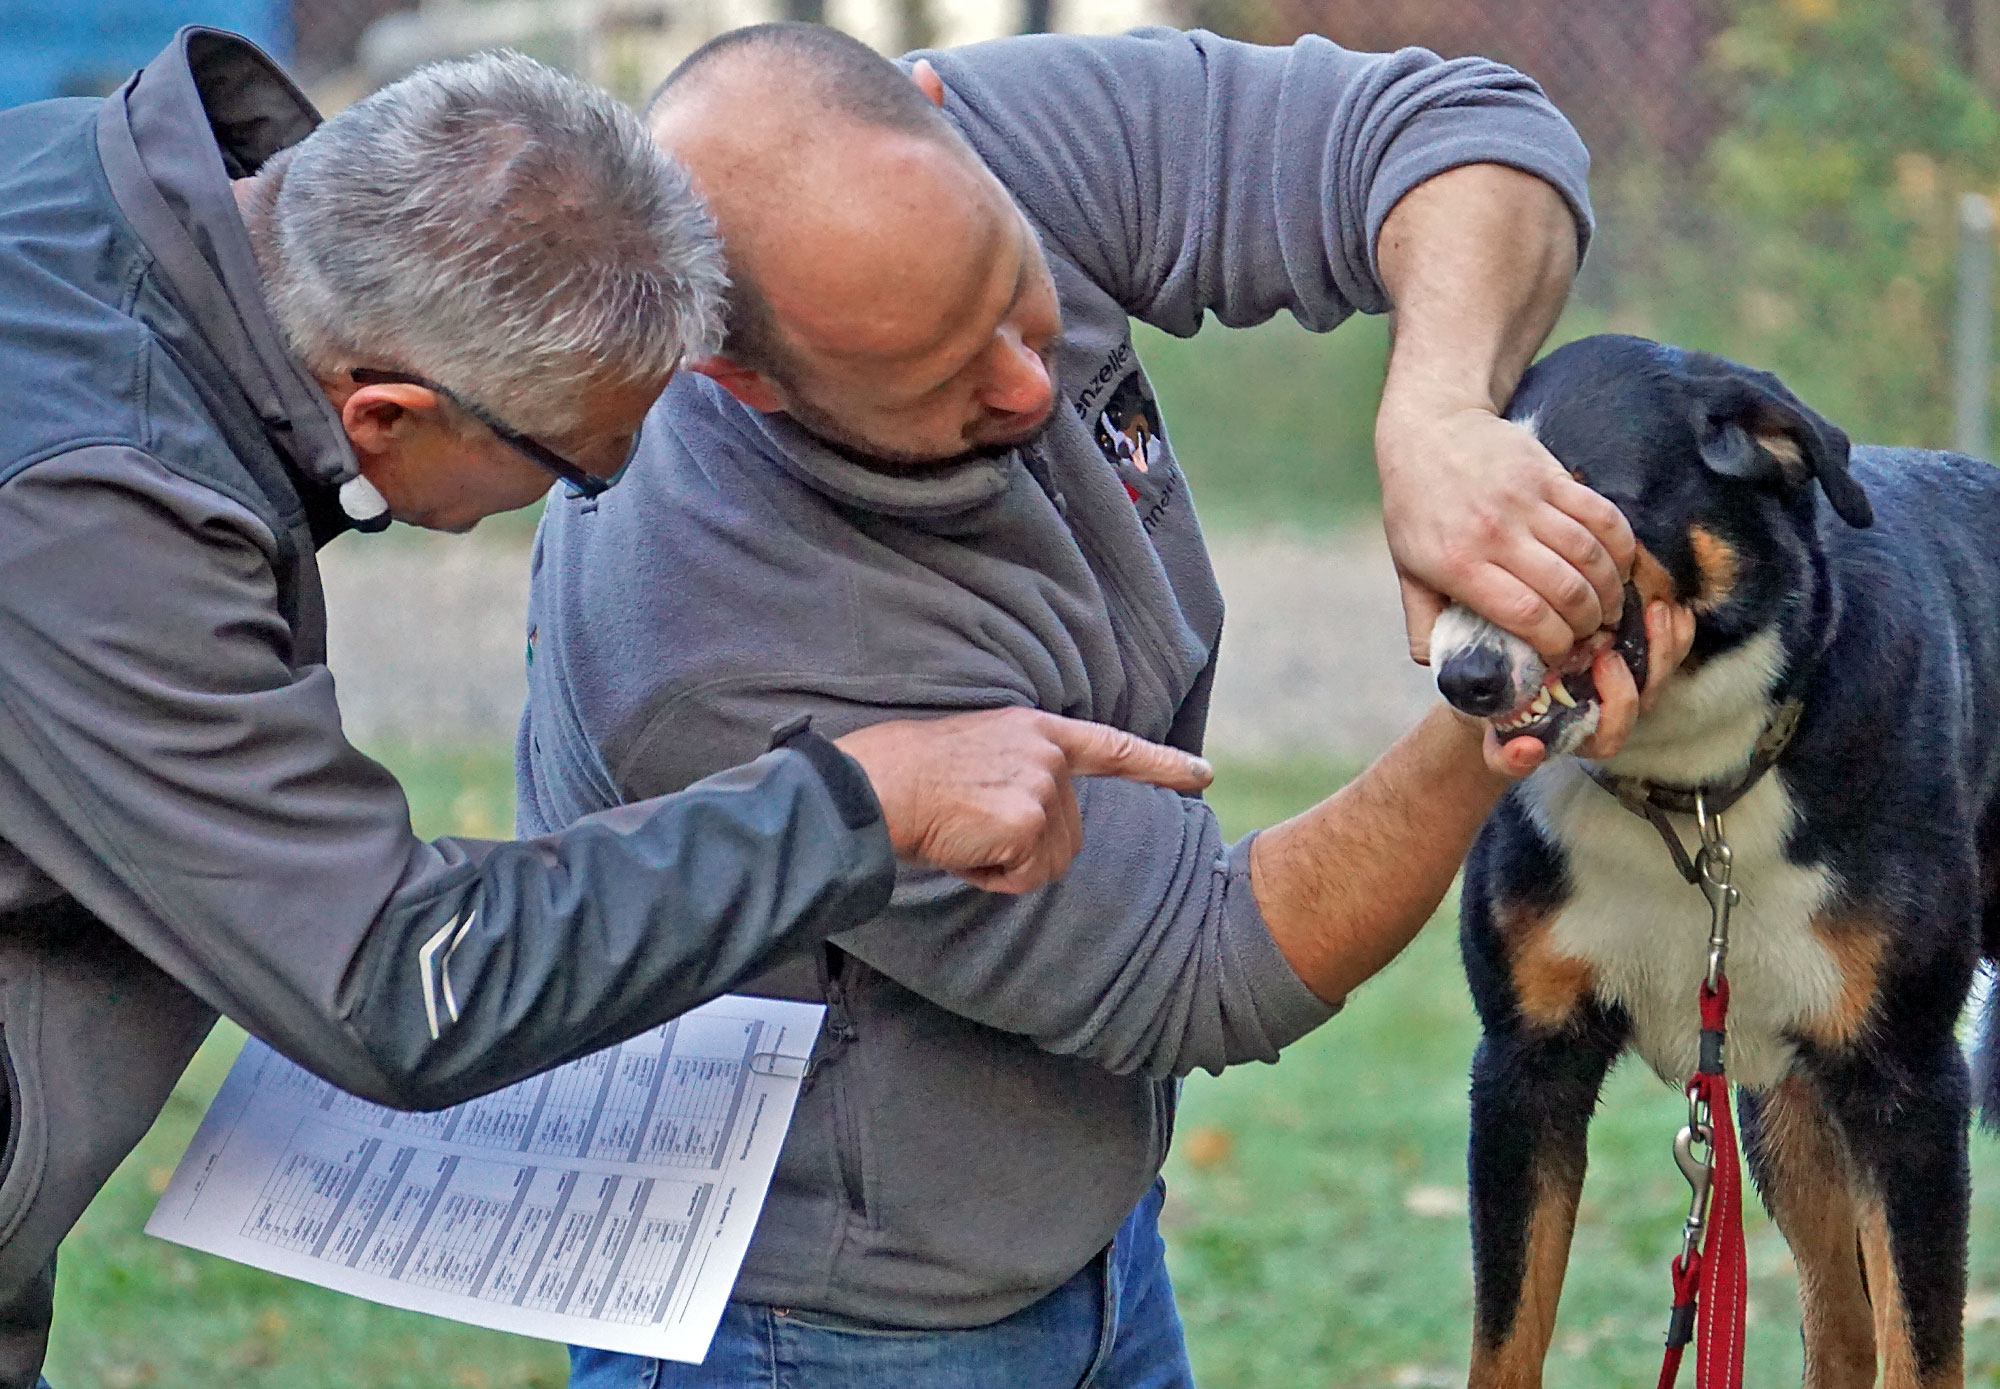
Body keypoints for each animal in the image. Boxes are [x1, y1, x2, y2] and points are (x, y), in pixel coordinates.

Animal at [1432, 332, 2000, 1384]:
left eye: (1588, 502)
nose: (1467, 678)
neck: (1692, 793)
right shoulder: (1526, 1068)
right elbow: (1506, 1340)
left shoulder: (1907, 1084)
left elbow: (1923, 1347)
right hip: (1787, 1110)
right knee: (1840, 1325)